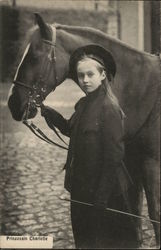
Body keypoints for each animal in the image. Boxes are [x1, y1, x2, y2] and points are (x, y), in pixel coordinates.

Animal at [7, 13, 160, 246]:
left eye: (34, 57)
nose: (12, 103)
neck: (143, 90)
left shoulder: (151, 164)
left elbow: (154, 214)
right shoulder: (131, 162)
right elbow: (135, 214)